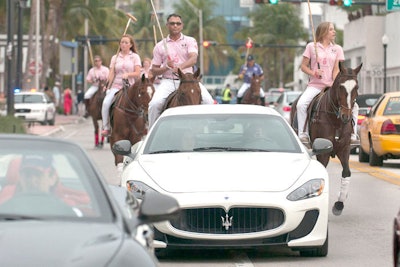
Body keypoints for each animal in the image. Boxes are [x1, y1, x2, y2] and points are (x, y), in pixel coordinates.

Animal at [290, 62, 362, 216]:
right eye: (340, 86)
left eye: (356, 87)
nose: (346, 116)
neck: (336, 120)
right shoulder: (323, 152)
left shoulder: (344, 149)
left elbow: (346, 172)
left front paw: (339, 204)